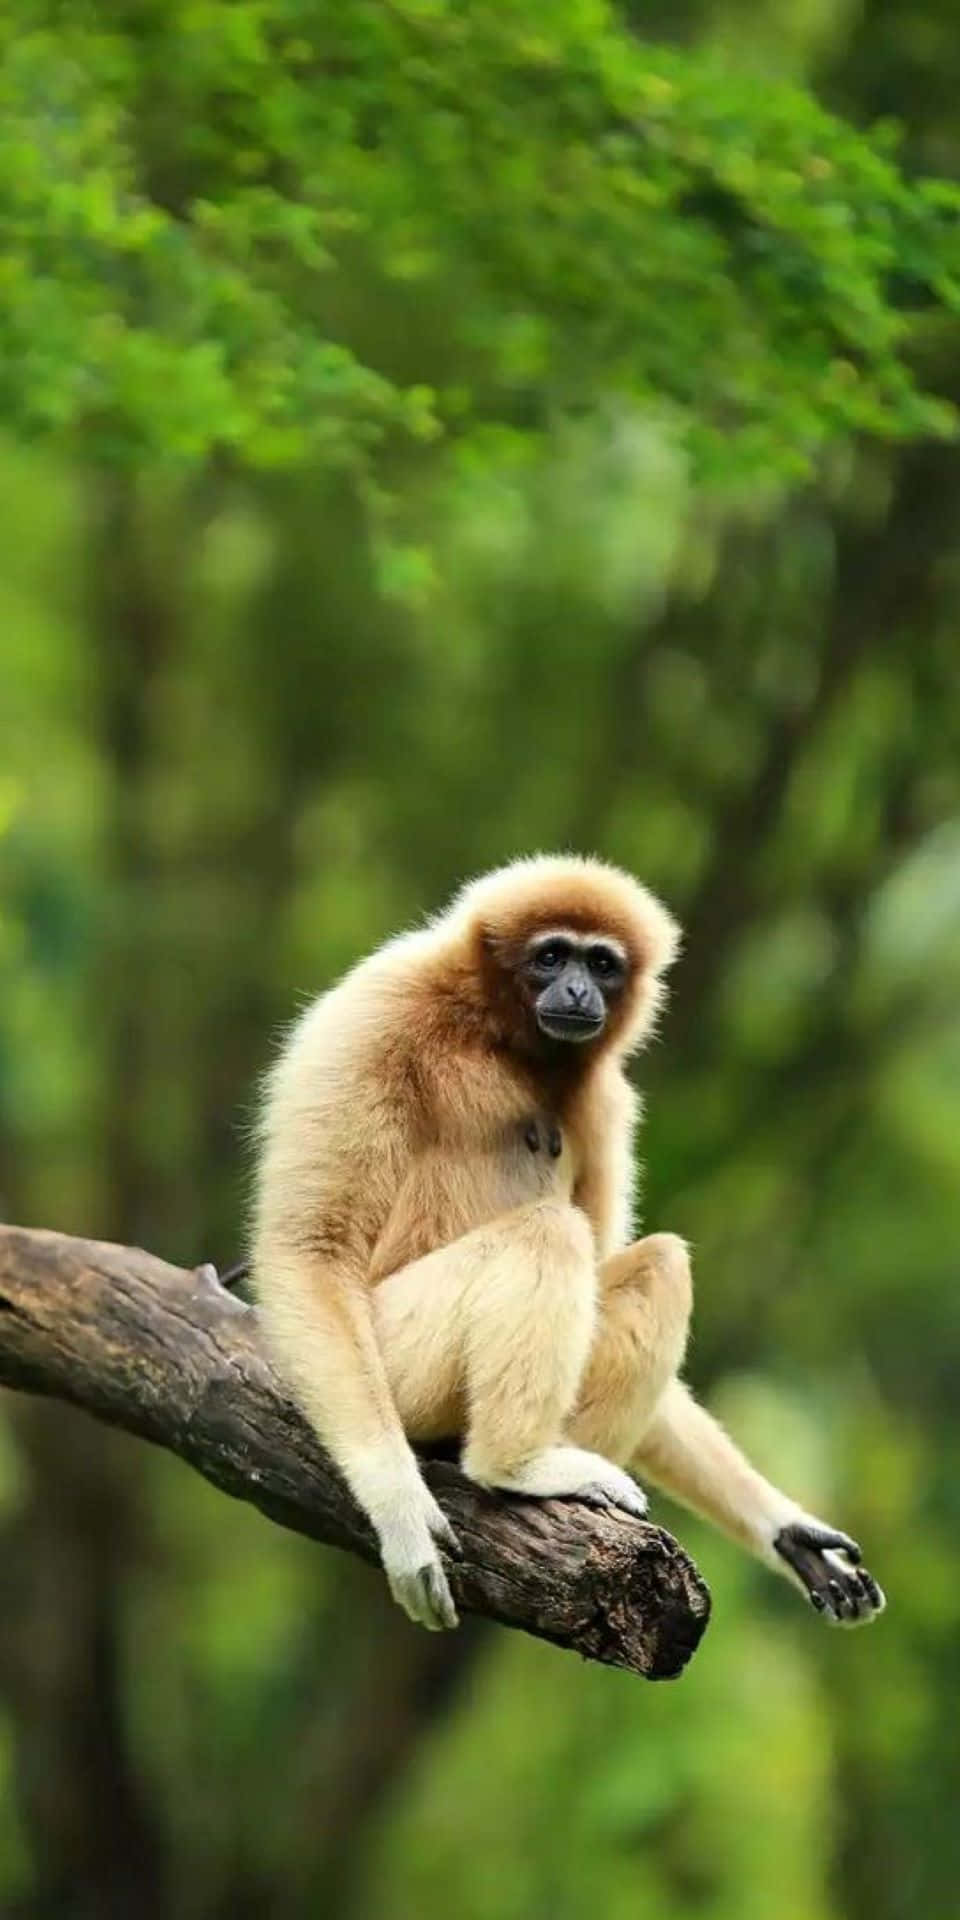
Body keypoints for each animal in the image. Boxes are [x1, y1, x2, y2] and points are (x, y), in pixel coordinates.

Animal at [253, 856, 885, 1633]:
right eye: (552, 956)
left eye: (602, 964)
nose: (579, 988)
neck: (494, 1032)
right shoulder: (375, 1011)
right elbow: (311, 1248)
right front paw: (397, 1507)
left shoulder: (608, 1100)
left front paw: (785, 1529)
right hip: (393, 1360)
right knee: (548, 1234)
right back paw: (512, 1466)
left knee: (659, 1264)